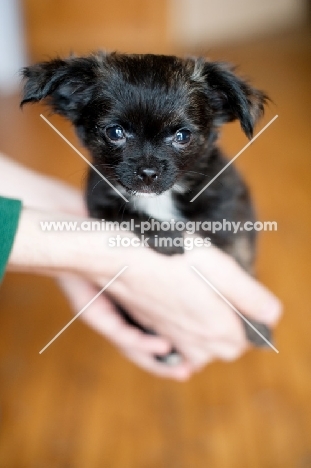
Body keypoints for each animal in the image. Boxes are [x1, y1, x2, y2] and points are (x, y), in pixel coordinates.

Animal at [20, 53, 272, 364]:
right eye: (115, 132)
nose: (148, 172)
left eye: (183, 136)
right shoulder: (101, 206)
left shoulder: (231, 213)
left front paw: (256, 326)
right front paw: (166, 237)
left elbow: (241, 261)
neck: (162, 197)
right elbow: (131, 216)